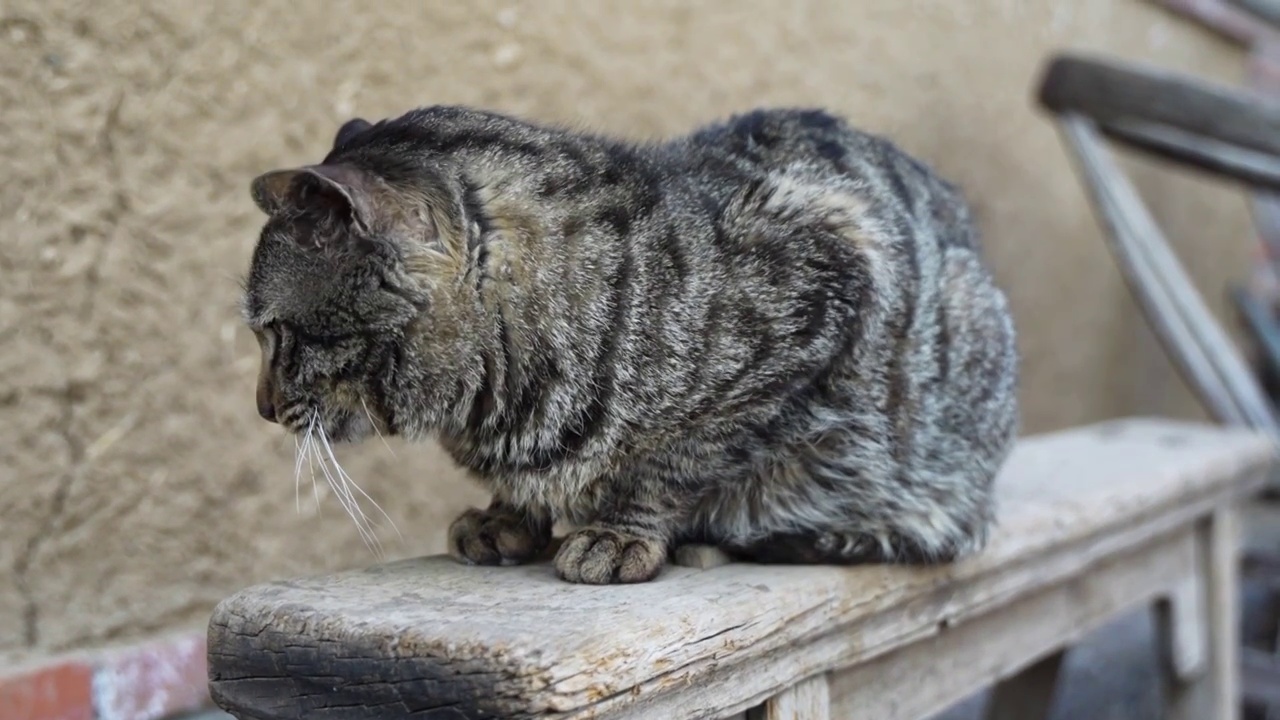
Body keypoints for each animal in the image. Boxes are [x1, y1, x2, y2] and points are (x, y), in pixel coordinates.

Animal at [240, 103, 1018, 579]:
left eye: (275, 334)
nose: (262, 408)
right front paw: (507, 515)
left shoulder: (823, 291)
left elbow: (674, 458)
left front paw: (619, 530)